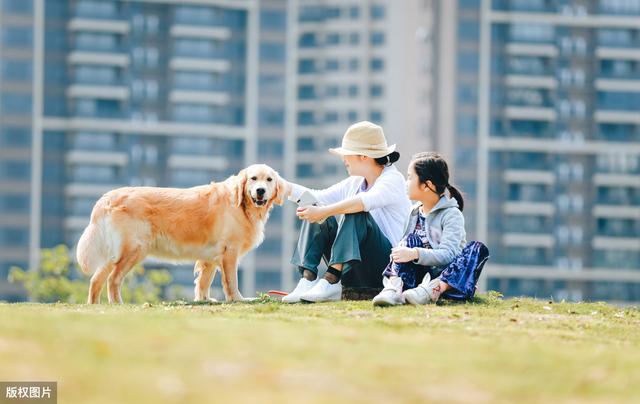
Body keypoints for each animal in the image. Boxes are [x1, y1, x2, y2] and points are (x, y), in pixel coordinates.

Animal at [76, 164, 284, 304]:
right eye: (253, 178)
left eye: (269, 180)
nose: (260, 191)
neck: (242, 206)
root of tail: (107, 198)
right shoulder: (229, 252)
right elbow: (231, 281)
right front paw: (238, 298)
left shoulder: (211, 256)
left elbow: (204, 281)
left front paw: (204, 300)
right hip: (134, 250)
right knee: (113, 279)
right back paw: (117, 304)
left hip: (115, 253)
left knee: (96, 279)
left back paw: (95, 306)